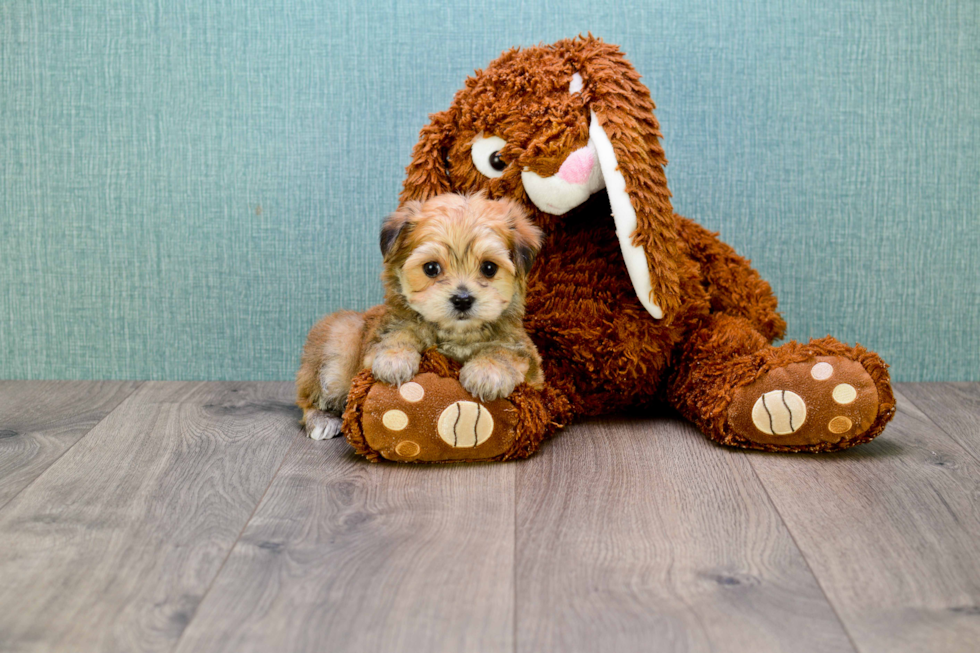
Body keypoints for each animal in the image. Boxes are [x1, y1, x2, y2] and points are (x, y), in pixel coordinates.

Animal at [294, 192, 548, 438]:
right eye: (431, 268)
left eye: (489, 268)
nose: (462, 299)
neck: (455, 333)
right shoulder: (382, 334)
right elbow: (399, 333)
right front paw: (394, 358)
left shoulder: (530, 365)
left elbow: (505, 351)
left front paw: (487, 371)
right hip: (340, 339)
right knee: (309, 398)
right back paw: (322, 420)